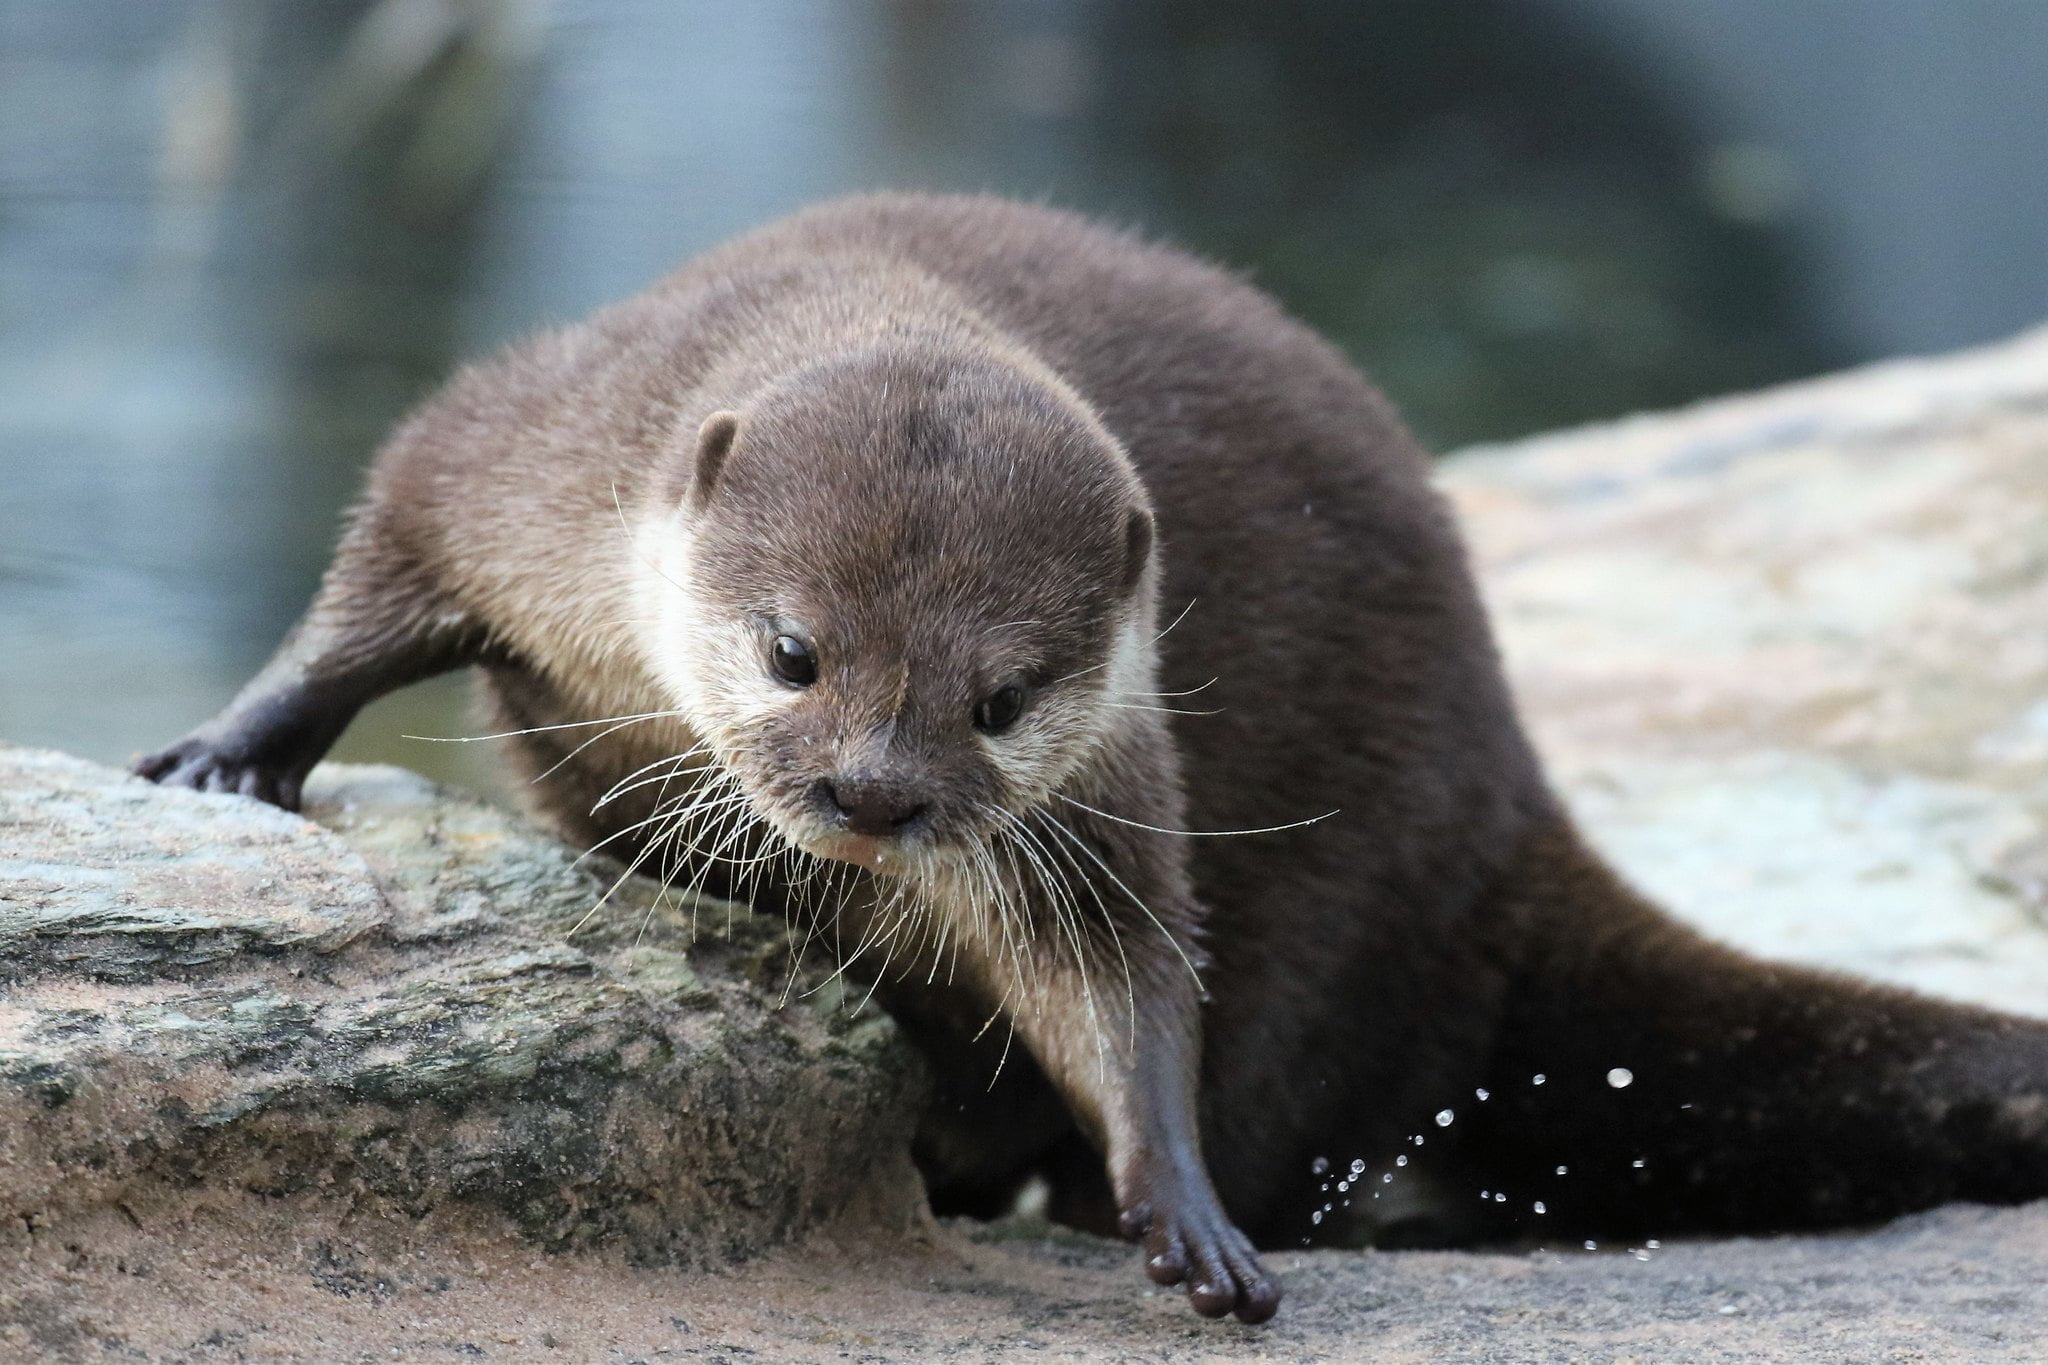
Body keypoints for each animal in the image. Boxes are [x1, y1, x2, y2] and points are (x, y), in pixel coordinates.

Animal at [136, 194, 2048, 1324]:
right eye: (792, 651)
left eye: (1002, 695)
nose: (872, 794)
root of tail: (1506, 811)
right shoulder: (518, 442)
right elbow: (373, 580)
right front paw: (229, 756)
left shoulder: (1118, 757)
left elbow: (1120, 968)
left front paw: (1171, 1201)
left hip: (1346, 902)